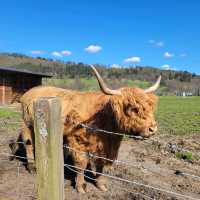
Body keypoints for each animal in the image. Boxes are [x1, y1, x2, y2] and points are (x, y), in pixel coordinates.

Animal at [15, 65, 161, 192]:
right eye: (133, 108)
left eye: (149, 106)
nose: (153, 129)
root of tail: (30, 91)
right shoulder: (78, 142)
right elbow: (81, 165)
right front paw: (81, 186)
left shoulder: (105, 147)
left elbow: (101, 164)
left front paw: (100, 184)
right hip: (27, 125)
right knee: (29, 144)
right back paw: (32, 167)